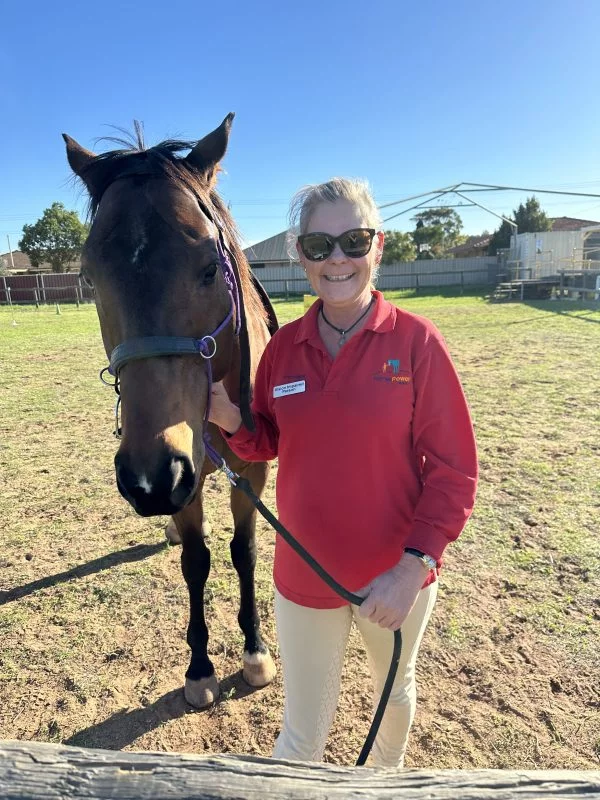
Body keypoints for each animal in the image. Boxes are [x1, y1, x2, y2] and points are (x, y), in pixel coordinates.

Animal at [63, 114, 278, 708]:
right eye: (89, 275)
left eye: (209, 267)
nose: (151, 479)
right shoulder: (188, 477)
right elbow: (197, 562)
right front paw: (200, 668)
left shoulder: (251, 470)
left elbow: (244, 551)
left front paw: (254, 651)